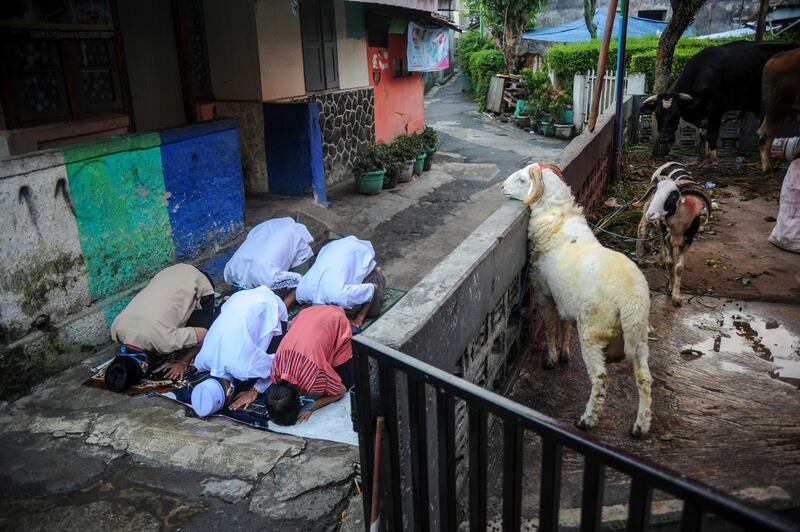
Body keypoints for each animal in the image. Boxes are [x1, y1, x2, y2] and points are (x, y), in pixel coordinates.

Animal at [504, 163, 652, 436]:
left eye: (521, 180)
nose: (501, 187)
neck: (558, 218)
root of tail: (630, 301)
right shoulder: (565, 298)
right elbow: (564, 325)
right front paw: (564, 353)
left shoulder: (543, 290)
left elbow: (550, 326)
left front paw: (552, 358)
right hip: (639, 337)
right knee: (645, 378)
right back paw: (640, 425)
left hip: (593, 331)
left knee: (601, 379)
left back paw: (586, 420)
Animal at [636, 41, 800, 163]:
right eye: (657, 114)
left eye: (676, 113)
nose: (664, 137)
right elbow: (703, 134)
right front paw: (700, 159)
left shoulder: (716, 107)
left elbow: (712, 134)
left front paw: (710, 160)